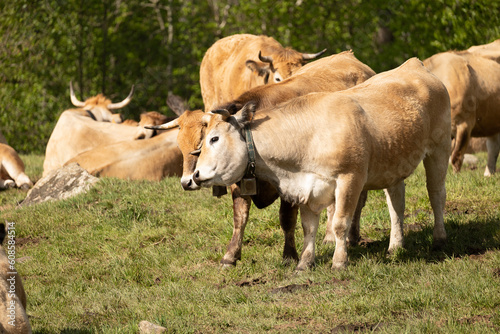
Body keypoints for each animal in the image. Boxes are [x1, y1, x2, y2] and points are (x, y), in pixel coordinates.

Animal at [148, 51, 376, 266]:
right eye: (180, 146)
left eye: (204, 143)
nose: (187, 181)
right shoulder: (239, 182)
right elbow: (240, 218)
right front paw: (230, 255)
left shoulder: (293, 185)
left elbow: (287, 219)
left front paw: (289, 255)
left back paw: (346, 236)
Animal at [191, 58, 450, 272]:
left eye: (214, 138)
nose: (195, 175)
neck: (308, 134)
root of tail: (413, 64)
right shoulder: (306, 187)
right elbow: (307, 227)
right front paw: (305, 263)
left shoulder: (349, 178)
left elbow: (339, 222)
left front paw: (339, 261)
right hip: (393, 162)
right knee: (396, 200)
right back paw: (395, 247)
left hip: (439, 149)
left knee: (436, 194)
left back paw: (439, 239)